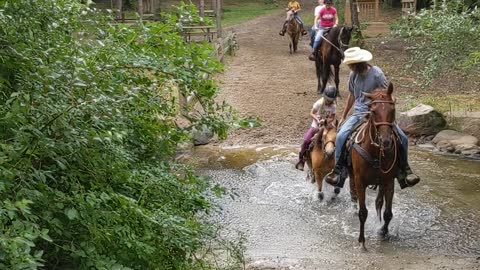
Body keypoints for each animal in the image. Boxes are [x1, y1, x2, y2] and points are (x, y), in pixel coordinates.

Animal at [346, 83, 400, 251]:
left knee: (378, 203)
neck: (376, 153)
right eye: (374, 111)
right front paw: (362, 240)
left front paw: (383, 232)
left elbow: (388, 212)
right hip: (352, 176)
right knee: (354, 196)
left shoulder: (389, 181)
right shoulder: (360, 181)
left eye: (392, 110)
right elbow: (363, 212)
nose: (386, 141)